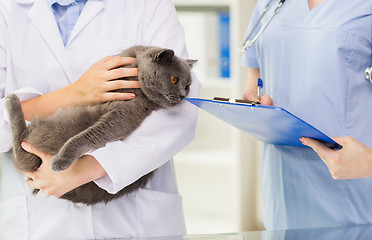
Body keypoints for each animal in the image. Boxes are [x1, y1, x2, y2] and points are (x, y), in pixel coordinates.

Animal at [5, 46, 196, 205]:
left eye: (187, 86)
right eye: (174, 79)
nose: (182, 95)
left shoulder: (128, 112)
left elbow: (93, 134)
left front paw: (61, 160)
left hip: (70, 121)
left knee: (22, 152)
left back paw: (11, 100)